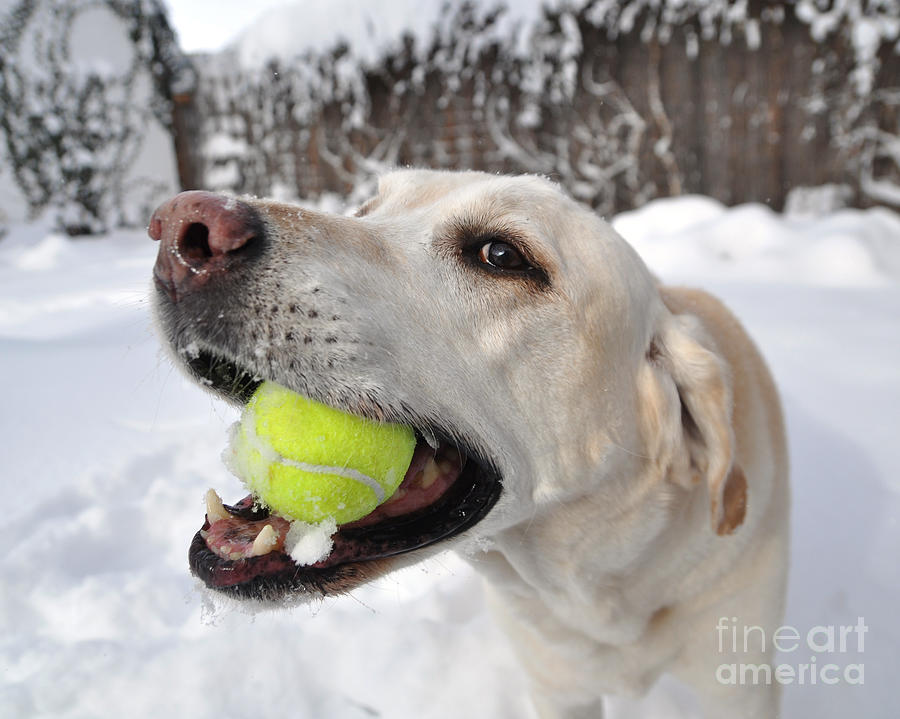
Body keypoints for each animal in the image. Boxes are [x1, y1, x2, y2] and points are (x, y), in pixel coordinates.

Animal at [151, 172, 792, 716]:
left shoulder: (742, 688)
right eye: (366, 210)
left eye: (501, 255)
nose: (183, 226)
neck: (599, 592)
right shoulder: (559, 688)